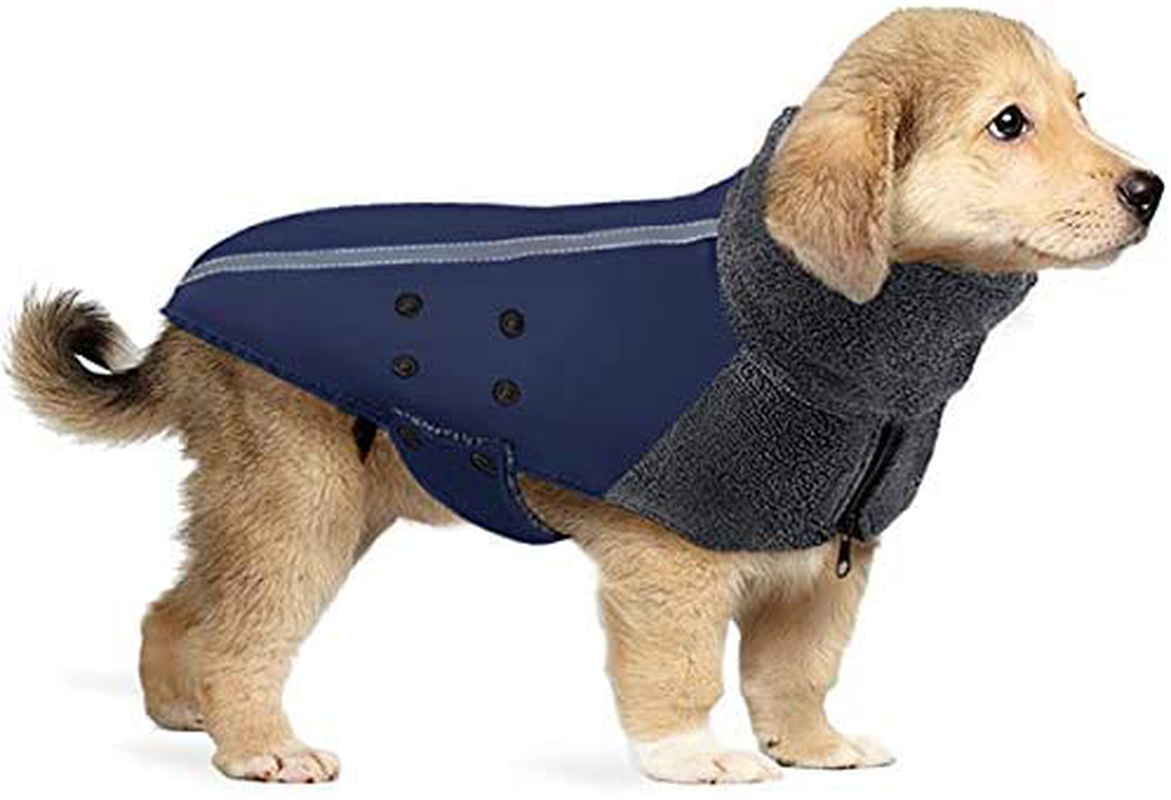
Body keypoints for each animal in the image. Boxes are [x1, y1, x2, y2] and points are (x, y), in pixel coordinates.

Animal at [8, 8, 1161, 785]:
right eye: (1006, 123)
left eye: (1080, 104)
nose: (1148, 189)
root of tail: (182, 309)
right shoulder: (671, 563)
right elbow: (683, 671)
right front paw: (693, 756)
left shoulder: (827, 560)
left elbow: (796, 670)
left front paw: (812, 746)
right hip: (301, 501)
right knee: (242, 630)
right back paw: (259, 747)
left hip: (309, 500)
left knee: (179, 607)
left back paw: (183, 710)